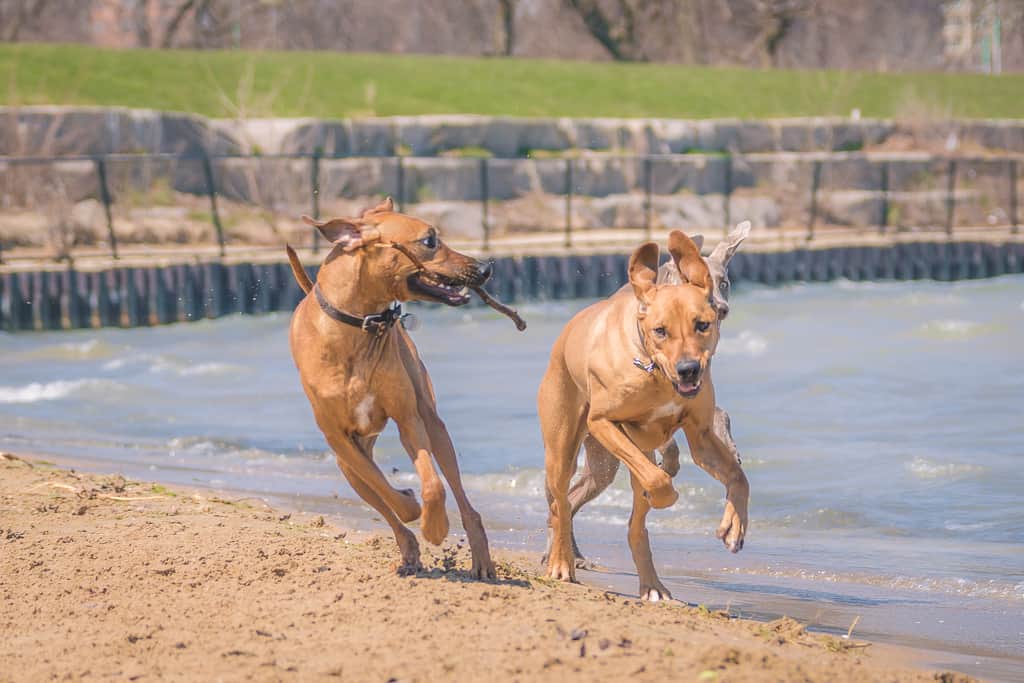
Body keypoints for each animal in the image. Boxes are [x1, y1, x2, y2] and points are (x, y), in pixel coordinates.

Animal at [288, 197, 495, 577]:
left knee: (461, 497)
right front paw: (411, 508)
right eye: (430, 240)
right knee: (381, 500)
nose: (485, 268)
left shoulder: (409, 419)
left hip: (434, 425)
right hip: (346, 464)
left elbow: (433, 486)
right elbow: (385, 491)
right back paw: (409, 548)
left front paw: (435, 526)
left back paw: (480, 558)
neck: (358, 328)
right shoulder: (339, 440)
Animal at [540, 229, 749, 598]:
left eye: (702, 325)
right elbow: (658, 478)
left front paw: (734, 526)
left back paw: (652, 585)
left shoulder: (700, 435)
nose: (689, 369)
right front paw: (669, 493)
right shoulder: (604, 422)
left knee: (634, 524)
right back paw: (561, 563)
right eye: (660, 331)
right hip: (563, 447)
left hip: (609, 463)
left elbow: (739, 477)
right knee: (561, 503)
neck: (654, 370)